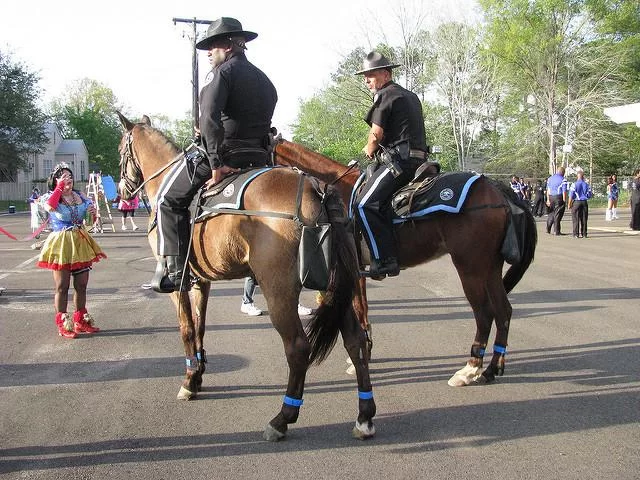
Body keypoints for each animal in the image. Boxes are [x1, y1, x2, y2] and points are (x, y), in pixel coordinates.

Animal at [116, 113, 376, 441]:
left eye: (121, 151)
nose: (122, 191)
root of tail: (317, 188)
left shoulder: (177, 285)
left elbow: (186, 329)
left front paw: (188, 381)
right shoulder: (201, 281)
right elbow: (200, 327)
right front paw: (198, 374)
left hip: (278, 292)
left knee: (298, 348)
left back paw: (283, 417)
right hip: (333, 289)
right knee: (355, 341)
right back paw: (364, 416)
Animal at [274, 139, 537, 387]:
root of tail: (497, 189)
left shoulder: (351, 271)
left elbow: (359, 309)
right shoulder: (358, 271)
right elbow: (363, 309)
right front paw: (365, 350)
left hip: (470, 267)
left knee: (484, 314)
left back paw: (469, 370)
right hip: (490, 267)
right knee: (503, 311)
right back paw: (492, 369)